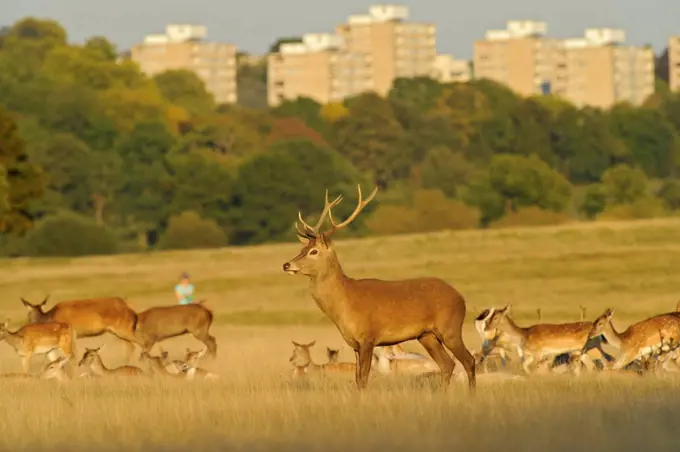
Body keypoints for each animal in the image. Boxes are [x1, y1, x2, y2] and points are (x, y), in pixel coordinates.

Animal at [280, 185, 472, 390]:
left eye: (314, 251)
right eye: (301, 250)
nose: (286, 265)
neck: (346, 301)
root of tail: (460, 297)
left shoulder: (368, 337)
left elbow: (364, 378)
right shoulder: (354, 343)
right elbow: (358, 379)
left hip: (450, 328)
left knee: (468, 361)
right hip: (427, 335)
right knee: (447, 364)